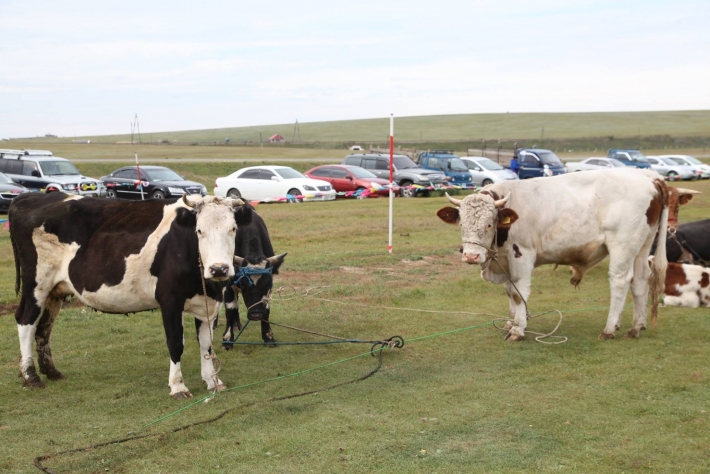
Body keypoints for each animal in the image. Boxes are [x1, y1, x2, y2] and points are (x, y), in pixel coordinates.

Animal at [9, 191, 252, 398]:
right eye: (199, 231)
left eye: (233, 228)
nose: (219, 269)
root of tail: (28, 197)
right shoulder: (170, 300)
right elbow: (176, 343)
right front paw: (178, 386)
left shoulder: (207, 303)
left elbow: (206, 345)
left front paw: (213, 381)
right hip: (37, 284)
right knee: (26, 321)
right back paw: (30, 375)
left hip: (54, 291)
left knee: (44, 327)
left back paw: (51, 371)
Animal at [224, 206, 288, 350]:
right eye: (243, 285)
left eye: (268, 285)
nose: (255, 314)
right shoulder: (229, 283)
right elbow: (230, 309)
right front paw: (227, 340)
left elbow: (267, 308)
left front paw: (268, 337)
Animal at [436, 168, 676, 340]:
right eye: (461, 224)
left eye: (488, 224)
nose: (471, 256)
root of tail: (650, 177)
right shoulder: (504, 261)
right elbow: (509, 291)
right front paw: (512, 321)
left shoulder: (521, 255)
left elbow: (519, 292)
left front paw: (518, 329)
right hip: (642, 245)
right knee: (641, 281)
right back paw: (637, 326)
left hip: (622, 245)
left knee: (620, 281)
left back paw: (609, 329)